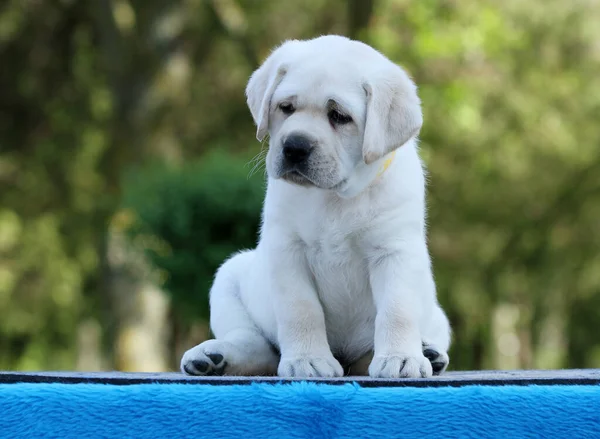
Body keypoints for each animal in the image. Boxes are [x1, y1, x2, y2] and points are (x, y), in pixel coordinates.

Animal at [183, 35, 450, 378]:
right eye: (286, 107)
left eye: (339, 116)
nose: (294, 146)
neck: (335, 197)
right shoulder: (287, 249)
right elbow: (301, 309)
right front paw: (307, 360)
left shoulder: (395, 250)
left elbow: (397, 310)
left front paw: (401, 357)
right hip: (228, 277)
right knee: (254, 344)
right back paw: (215, 356)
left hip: (438, 317)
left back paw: (427, 352)